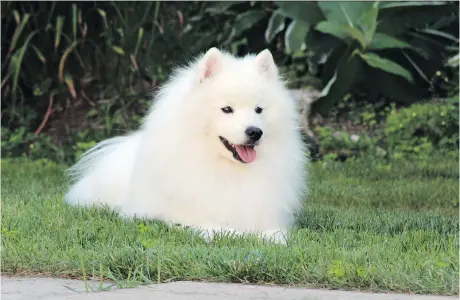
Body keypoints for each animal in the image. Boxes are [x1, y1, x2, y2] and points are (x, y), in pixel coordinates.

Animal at [63, 47, 310, 244]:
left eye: (259, 110)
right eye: (227, 109)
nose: (254, 132)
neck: (227, 169)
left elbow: (273, 233)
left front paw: (270, 238)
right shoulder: (187, 217)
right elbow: (220, 229)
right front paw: (238, 235)